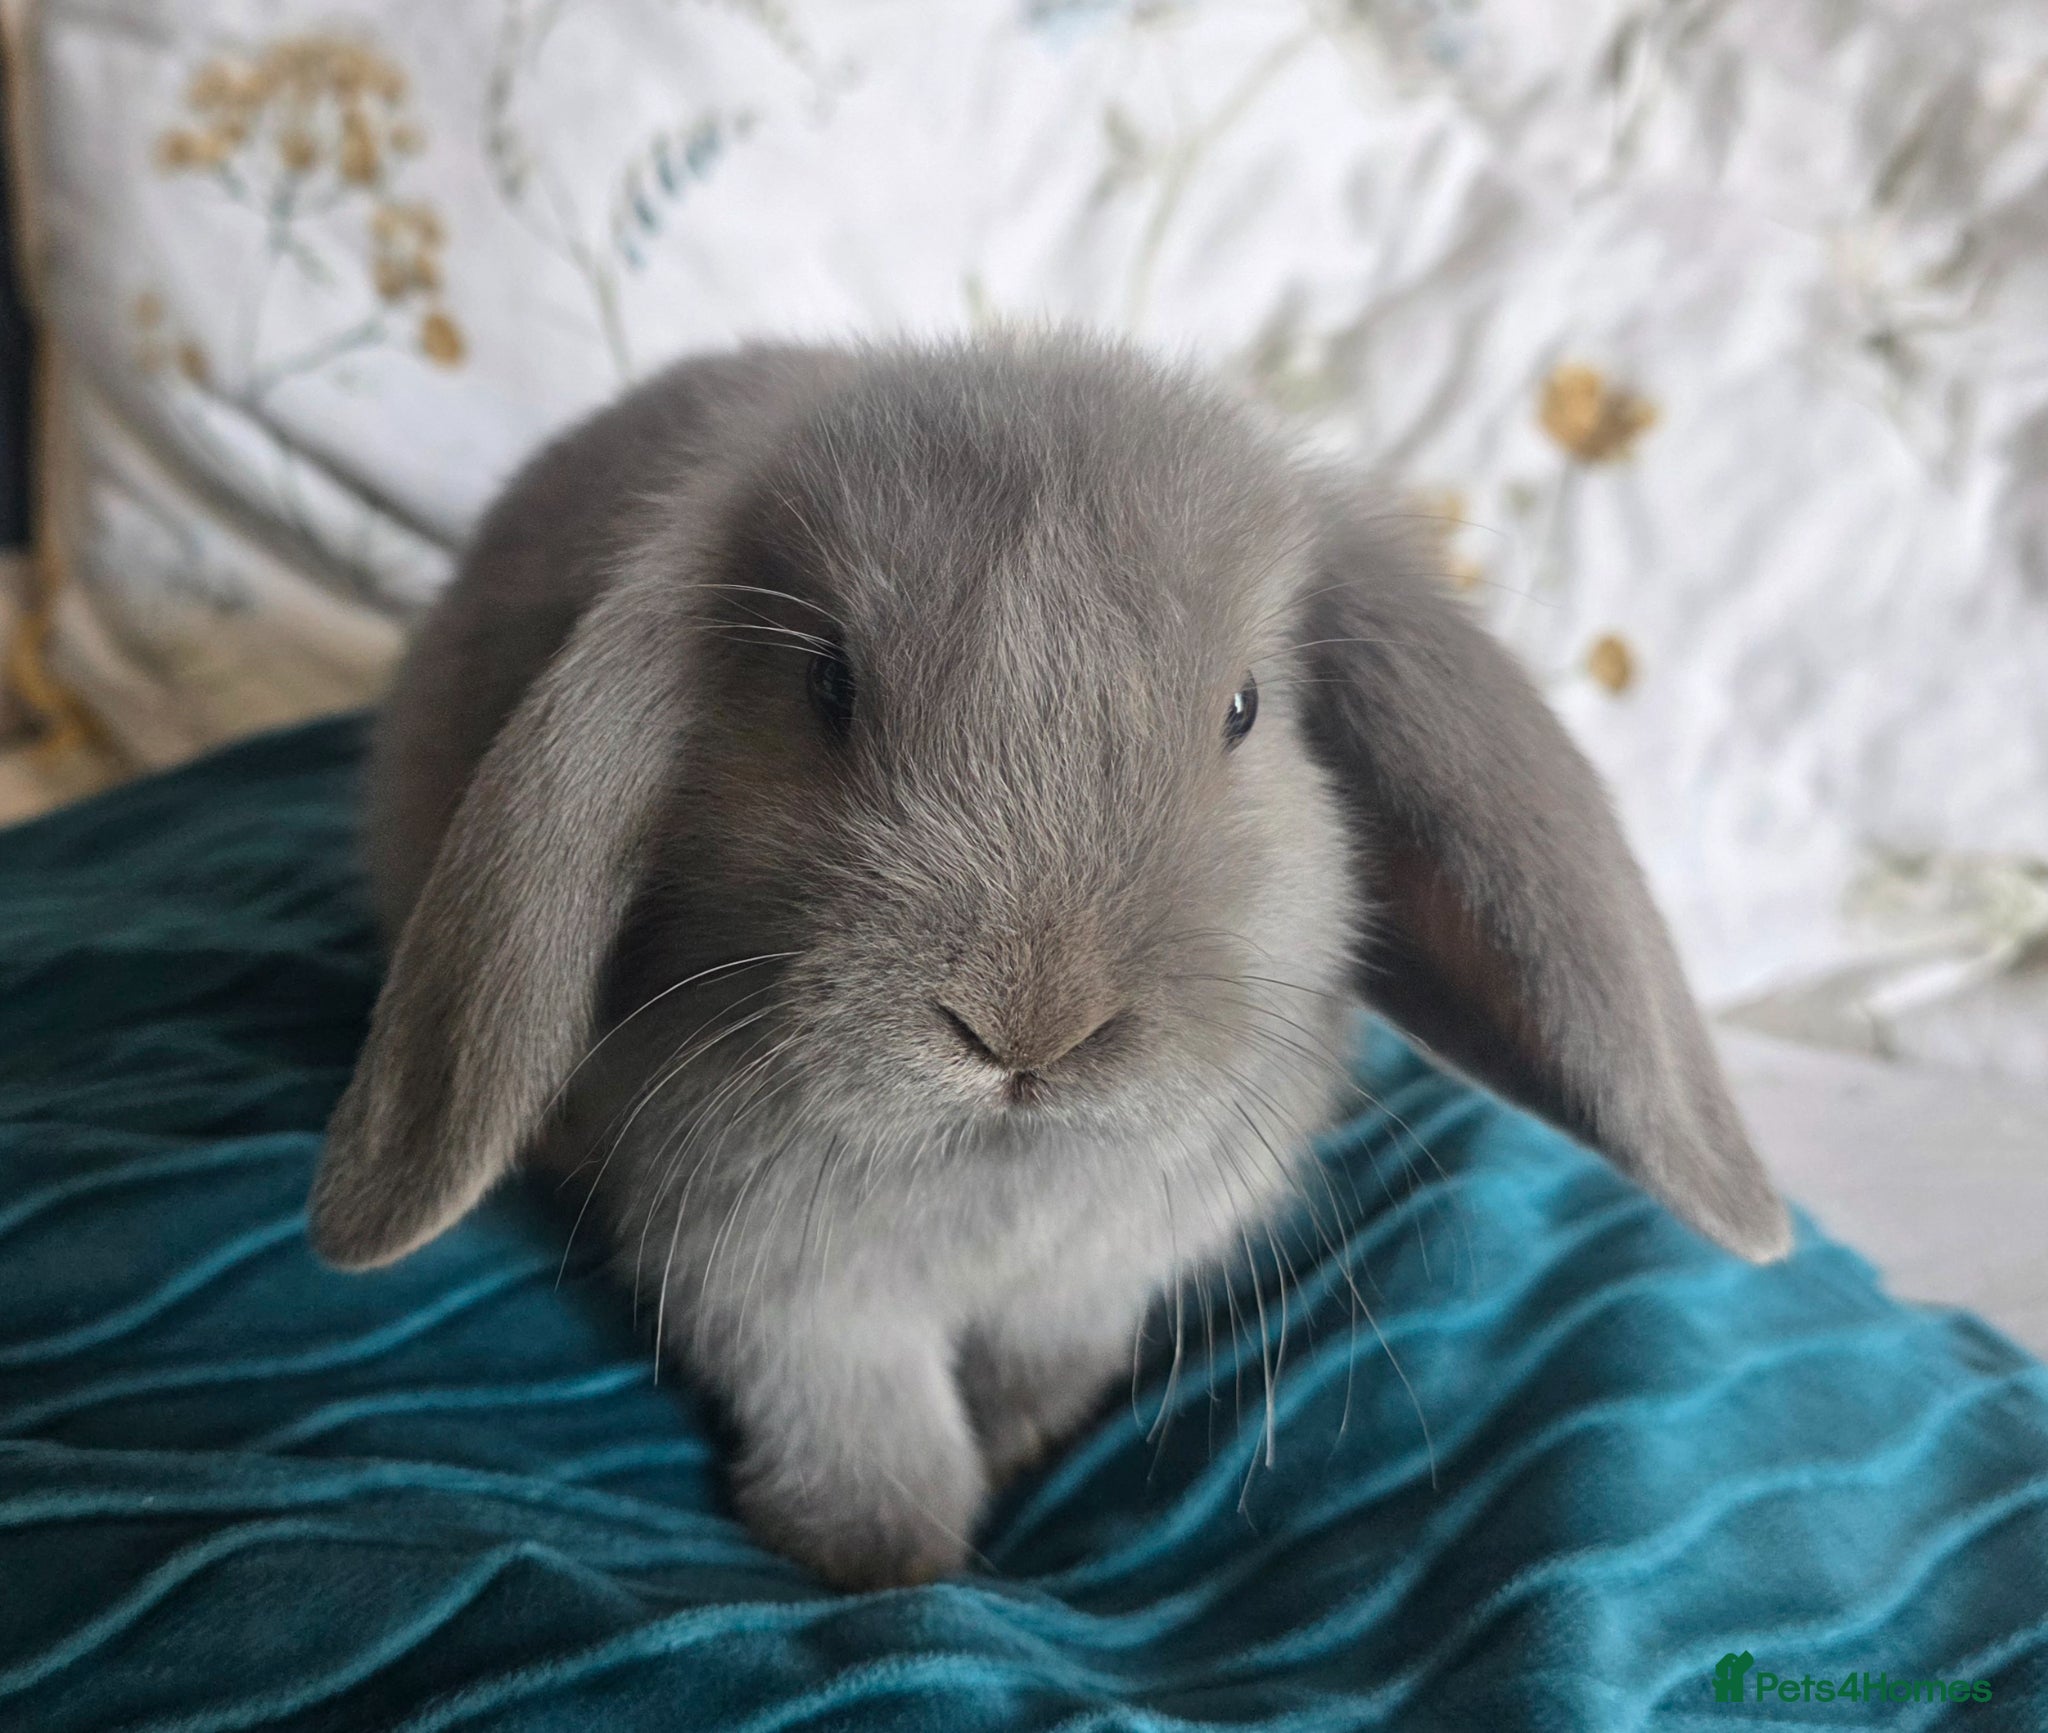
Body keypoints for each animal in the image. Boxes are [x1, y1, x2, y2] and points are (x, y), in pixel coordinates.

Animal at [310, 329, 1789, 1591]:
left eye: (1245, 709)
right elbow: (868, 1422)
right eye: (828, 688)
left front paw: (1014, 1450)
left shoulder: (1096, 1284)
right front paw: (883, 1560)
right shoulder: (775, 1283)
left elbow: (1039, 1370)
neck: (999, 1174)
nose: (1026, 1028)